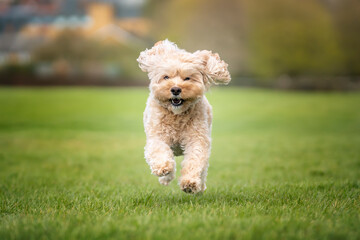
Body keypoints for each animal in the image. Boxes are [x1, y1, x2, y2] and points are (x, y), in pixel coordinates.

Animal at [138, 39, 231, 193]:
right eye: (166, 77)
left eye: (187, 78)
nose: (175, 89)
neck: (176, 115)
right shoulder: (157, 136)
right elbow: (159, 150)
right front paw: (163, 167)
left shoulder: (197, 139)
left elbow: (195, 159)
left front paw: (190, 182)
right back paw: (166, 177)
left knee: (203, 169)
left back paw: (200, 186)